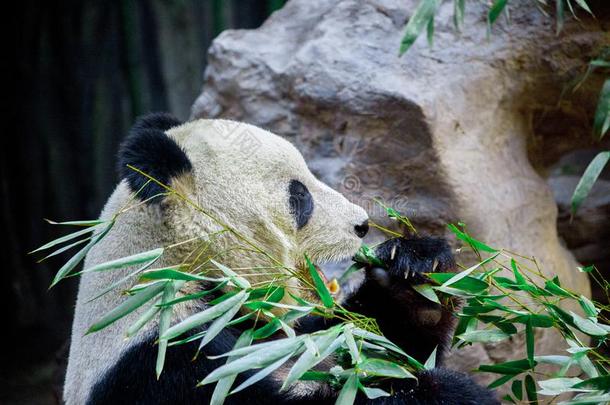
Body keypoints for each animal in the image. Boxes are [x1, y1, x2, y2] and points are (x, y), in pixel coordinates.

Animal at [63, 113, 498, 404]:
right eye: (299, 196)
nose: (361, 224)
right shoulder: (165, 364)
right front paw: (448, 391)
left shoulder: (281, 329)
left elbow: (376, 342)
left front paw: (414, 270)